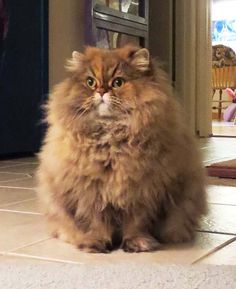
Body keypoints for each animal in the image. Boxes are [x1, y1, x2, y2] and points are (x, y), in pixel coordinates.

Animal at [37, 45, 206, 252]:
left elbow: (136, 224)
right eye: (90, 82)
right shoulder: (90, 194)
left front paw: (137, 243)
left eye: (118, 82)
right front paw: (97, 243)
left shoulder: (143, 194)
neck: (111, 141)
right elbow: (96, 222)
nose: (101, 91)